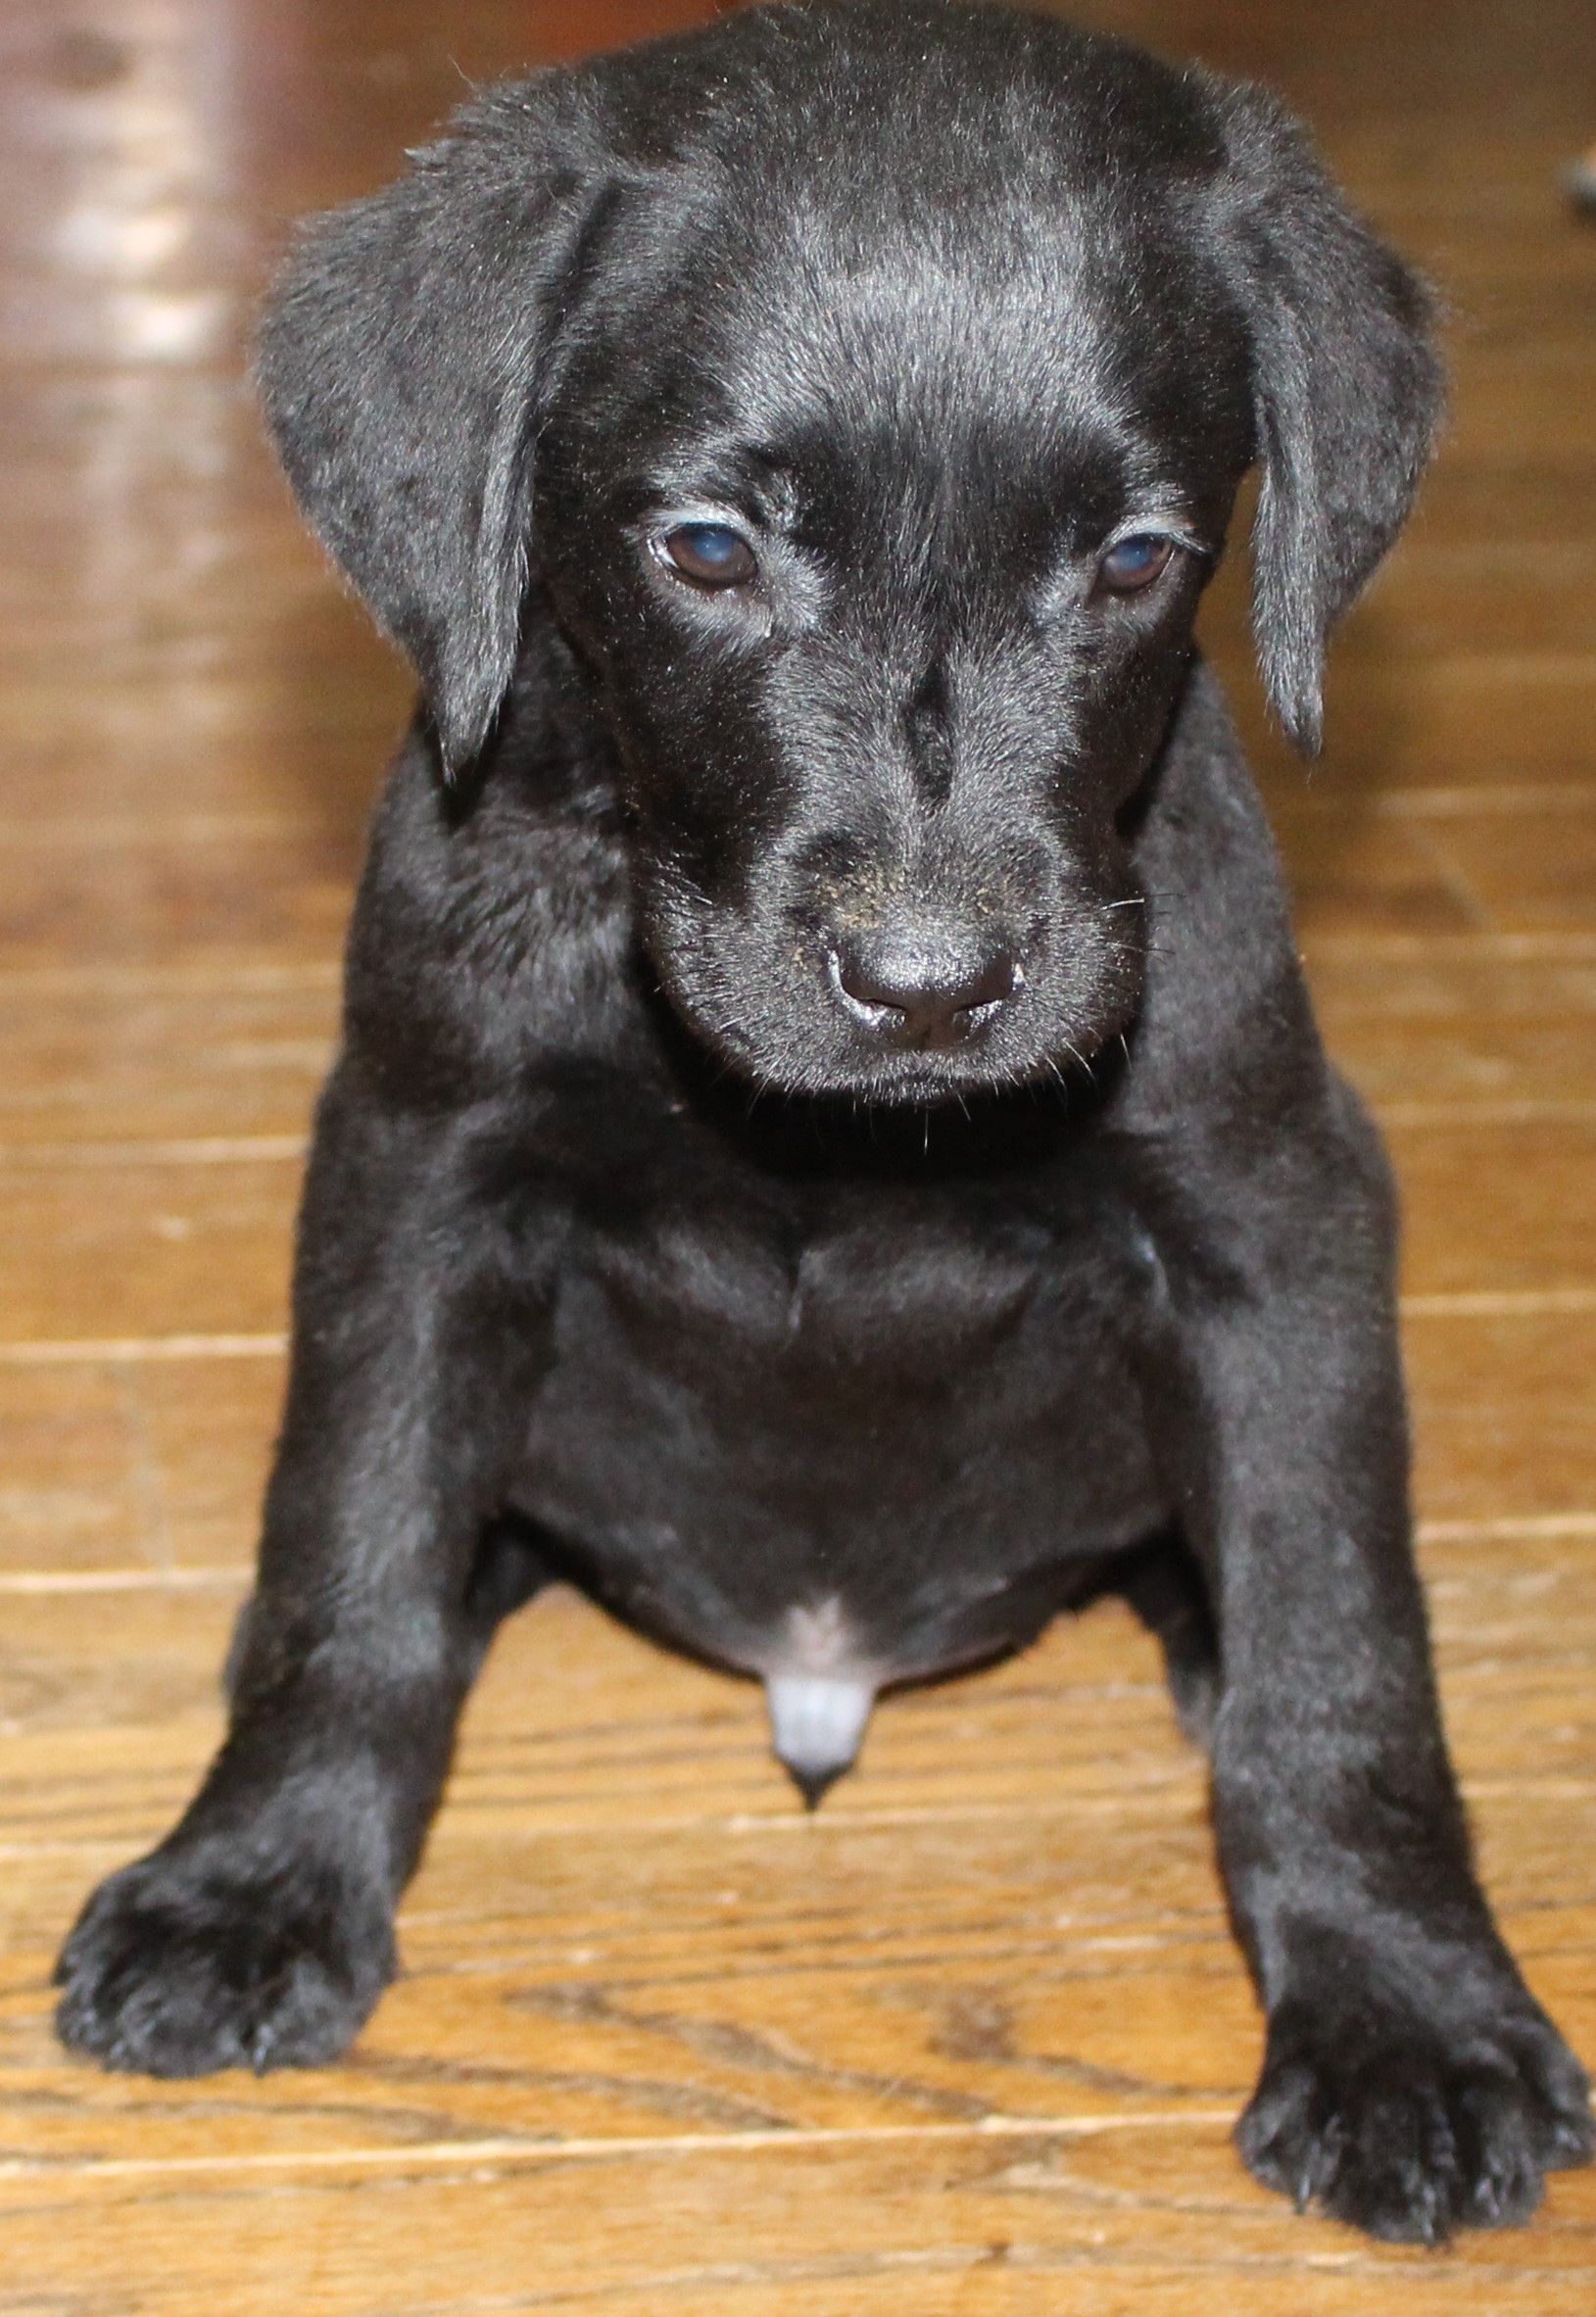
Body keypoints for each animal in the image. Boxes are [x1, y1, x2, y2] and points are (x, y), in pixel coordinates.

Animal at [56, 0, 1584, 2243]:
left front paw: (1404, 2013)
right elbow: (353, 1561)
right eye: (705, 550)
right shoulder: (419, 1183)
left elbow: (1339, 1649)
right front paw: (254, 1883)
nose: (931, 986)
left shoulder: (1269, 1220)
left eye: (1134, 562)